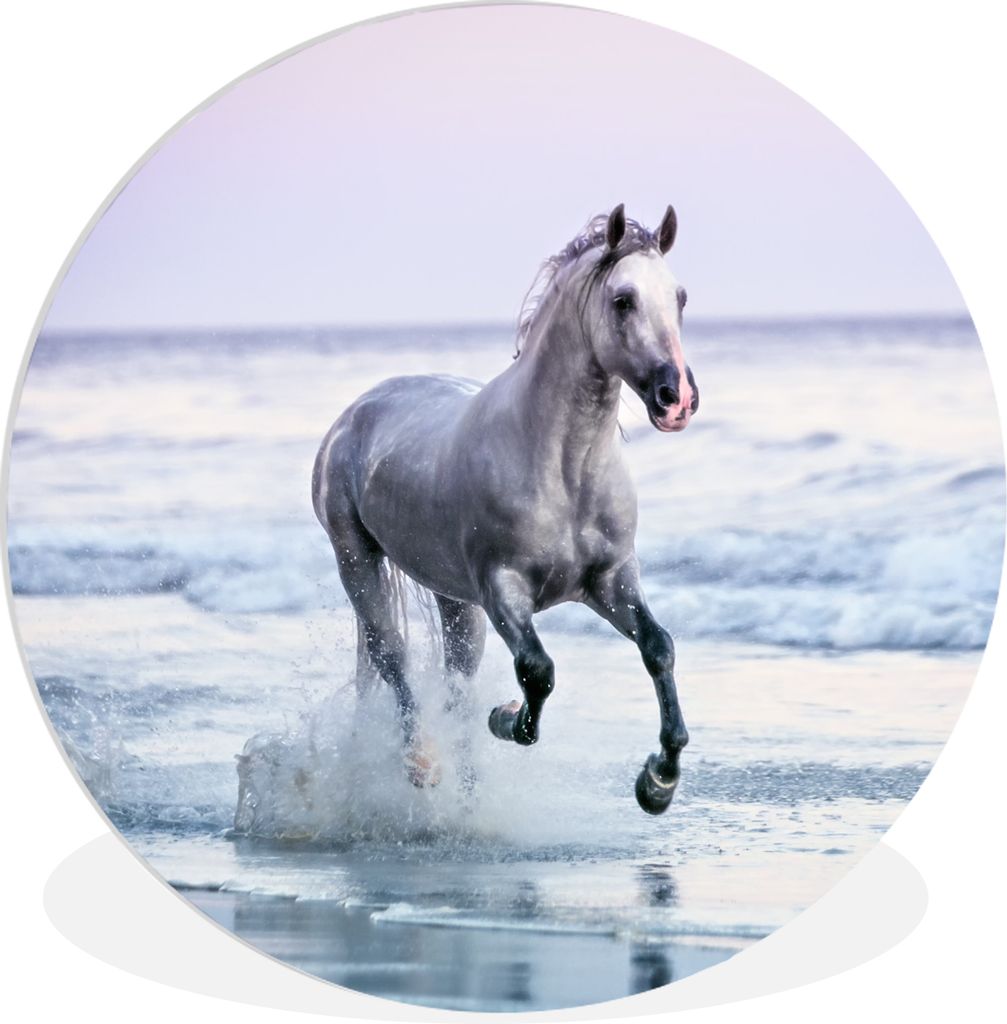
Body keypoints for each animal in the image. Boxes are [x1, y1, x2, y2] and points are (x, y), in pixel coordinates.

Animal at [312, 204, 699, 814]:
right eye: (623, 300)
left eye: (679, 297)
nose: (676, 398)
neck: (563, 468)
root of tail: (354, 414)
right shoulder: (503, 589)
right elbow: (537, 673)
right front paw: (506, 717)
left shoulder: (610, 580)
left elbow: (659, 648)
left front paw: (658, 782)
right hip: (358, 561)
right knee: (392, 657)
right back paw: (422, 763)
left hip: (453, 599)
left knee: (456, 680)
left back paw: (469, 796)